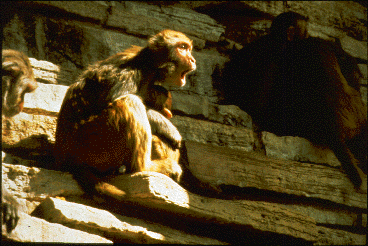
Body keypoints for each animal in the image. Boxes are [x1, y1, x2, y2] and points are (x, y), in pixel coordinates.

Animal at [54, 29, 196, 201]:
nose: (192, 59)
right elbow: (116, 99)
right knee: (130, 101)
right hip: (92, 143)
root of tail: (67, 160)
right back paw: (145, 167)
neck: (148, 64)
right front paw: (166, 125)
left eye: (188, 48)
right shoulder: (128, 74)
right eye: (182, 47)